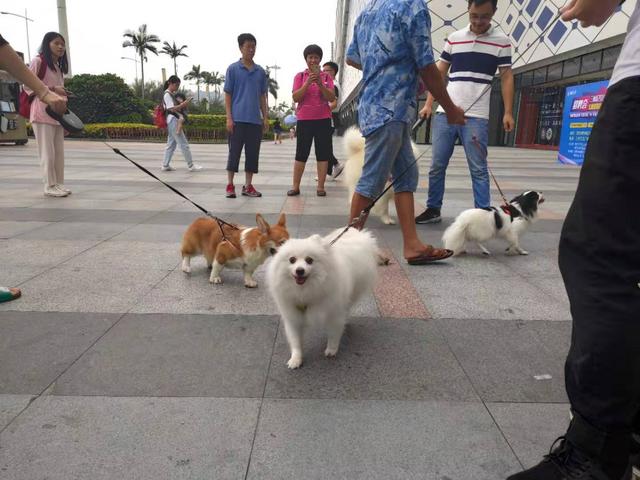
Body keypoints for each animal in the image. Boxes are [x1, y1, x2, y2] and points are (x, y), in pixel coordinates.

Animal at [266, 227, 380, 370]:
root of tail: (358, 234)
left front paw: (331, 350)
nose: (299, 270)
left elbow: (334, 334)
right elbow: (295, 341)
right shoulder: (293, 317)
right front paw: (296, 359)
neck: (304, 292)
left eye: (309, 260)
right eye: (292, 260)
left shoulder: (334, 313)